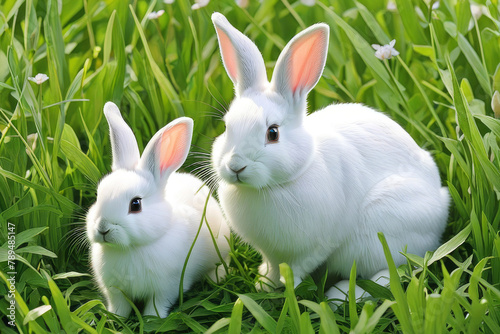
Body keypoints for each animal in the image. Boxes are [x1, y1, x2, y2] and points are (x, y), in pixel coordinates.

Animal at [87, 102, 230, 318]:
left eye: (136, 204)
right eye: (98, 195)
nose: (103, 228)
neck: (131, 249)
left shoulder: (167, 287)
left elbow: (157, 304)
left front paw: (151, 319)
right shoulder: (115, 291)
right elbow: (120, 305)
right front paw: (113, 318)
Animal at [209, 11, 452, 302]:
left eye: (273, 133)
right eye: (226, 127)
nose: (235, 166)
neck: (276, 186)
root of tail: (441, 203)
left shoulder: (316, 246)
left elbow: (298, 268)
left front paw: (288, 289)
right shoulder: (271, 252)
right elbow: (272, 267)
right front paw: (264, 285)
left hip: (382, 230)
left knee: (393, 271)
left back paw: (342, 296)